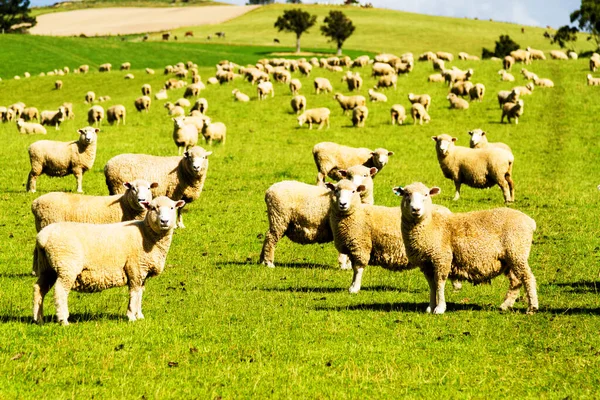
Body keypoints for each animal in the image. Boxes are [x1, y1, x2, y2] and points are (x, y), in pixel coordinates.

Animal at [30, 180, 158, 233]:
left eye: (148, 188)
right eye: (133, 188)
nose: (142, 200)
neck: (124, 204)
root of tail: (35, 203)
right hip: (48, 223)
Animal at [30, 196, 184, 324]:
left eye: (172, 208)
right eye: (153, 208)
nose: (164, 221)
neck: (146, 235)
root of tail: (43, 236)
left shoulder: (143, 271)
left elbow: (140, 293)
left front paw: (139, 315)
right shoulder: (135, 268)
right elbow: (134, 294)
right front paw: (131, 317)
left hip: (48, 268)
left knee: (39, 289)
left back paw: (38, 318)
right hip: (66, 266)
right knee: (60, 291)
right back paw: (63, 320)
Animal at [394, 182, 540, 316]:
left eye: (426, 195)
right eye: (406, 194)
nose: (416, 209)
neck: (431, 225)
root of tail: (529, 221)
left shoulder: (442, 257)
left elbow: (440, 282)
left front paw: (440, 308)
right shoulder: (426, 263)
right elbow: (432, 285)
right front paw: (430, 307)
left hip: (517, 251)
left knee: (528, 278)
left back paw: (532, 307)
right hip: (509, 258)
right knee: (516, 281)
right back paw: (505, 305)